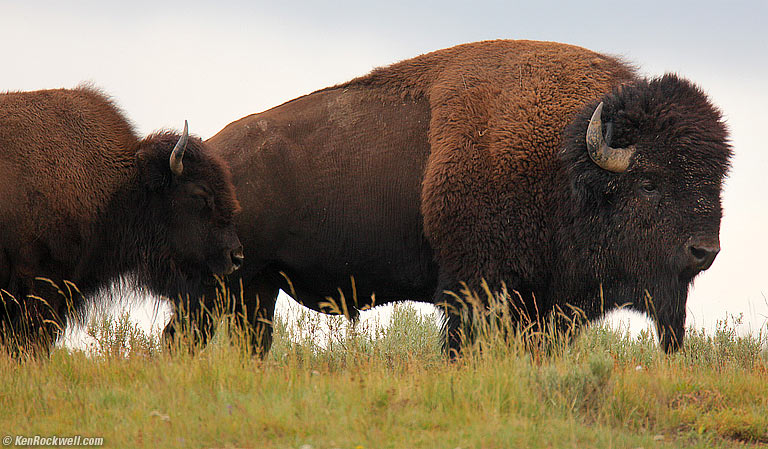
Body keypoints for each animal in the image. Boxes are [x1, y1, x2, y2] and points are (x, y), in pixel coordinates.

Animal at [196, 39, 731, 356]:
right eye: (649, 182)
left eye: (716, 180)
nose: (704, 251)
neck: (564, 160)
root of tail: (215, 152)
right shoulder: (473, 288)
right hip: (231, 282)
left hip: (256, 287)